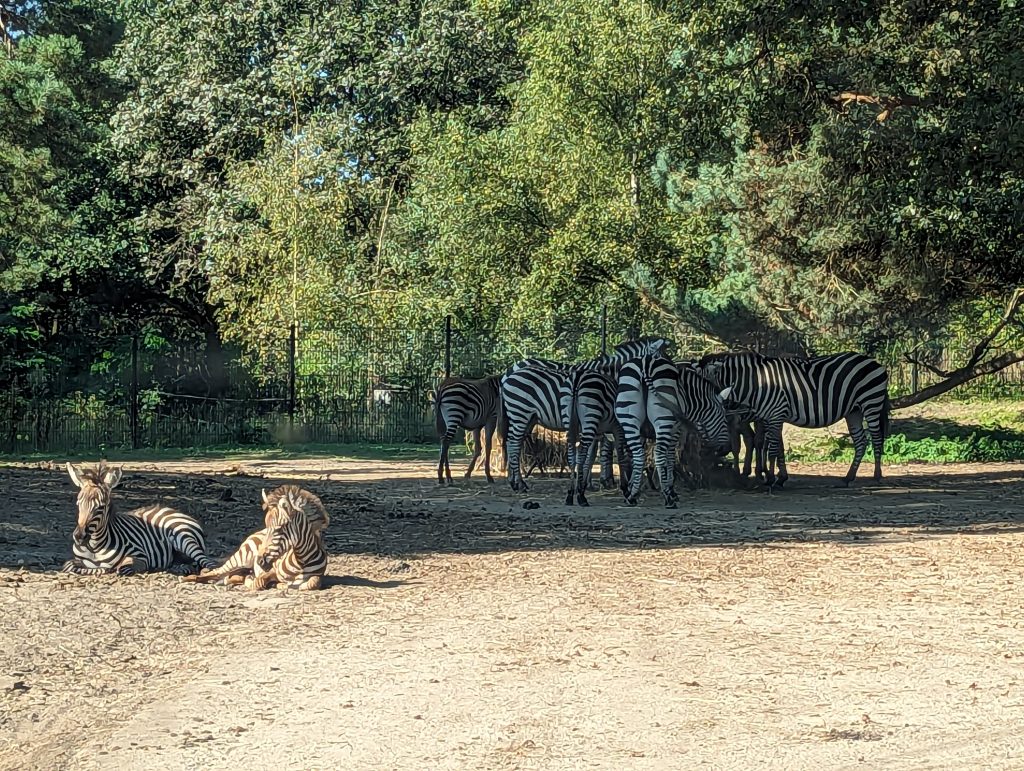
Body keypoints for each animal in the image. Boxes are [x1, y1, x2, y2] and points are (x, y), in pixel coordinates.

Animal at [61, 461, 216, 576]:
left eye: (101, 507)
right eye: (78, 504)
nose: (79, 537)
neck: (95, 547)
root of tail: (173, 511)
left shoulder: (140, 556)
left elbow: (121, 568)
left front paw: (107, 568)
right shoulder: (76, 560)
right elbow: (68, 565)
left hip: (184, 537)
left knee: (206, 561)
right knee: (188, 563)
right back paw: (179, 568)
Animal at [182, 485, 328, 587]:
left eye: (279, 529)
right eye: (268, 527)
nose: (259, 560)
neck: (301, 561)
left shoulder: (318, 576)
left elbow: (313, 583)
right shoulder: (271, 571)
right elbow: (258, 583)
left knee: (227, 576)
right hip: (241, 558)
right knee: (216, 572)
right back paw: (187, 578)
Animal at [501, 336, 673, 491]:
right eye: (661, 361)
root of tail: (509, 373)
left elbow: (592, 455)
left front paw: (588, 482)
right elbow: (598, 453)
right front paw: (592, 482)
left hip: (527, 417)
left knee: (512, 443)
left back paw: (514, 481)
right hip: (520, 413)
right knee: (514, 443)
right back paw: (519, 484)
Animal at [616, 357, 733, 507]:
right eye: (724, 418)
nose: (726, 448)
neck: (687, 396)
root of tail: (645, 364)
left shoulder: (642, 434)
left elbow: (635, 459)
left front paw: (631, 490)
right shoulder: (676, 429)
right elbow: (670, 458)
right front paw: (671, 491)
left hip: (629, 418)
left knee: (638, 454)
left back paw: (632, 497)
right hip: (663, 420)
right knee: (659, 454)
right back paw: (668, 499)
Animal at [697, 351, 891, 488]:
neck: (757, 383)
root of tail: (875, 362)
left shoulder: (775, 415)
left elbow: (772, 449)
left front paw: (771, 478)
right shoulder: (770, 417)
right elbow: (777, 448)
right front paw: (779, 477)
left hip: (871, 402)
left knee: (876, 438)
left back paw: (877, 476)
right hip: (854, 411)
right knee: (861, 441)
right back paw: (849, 477)